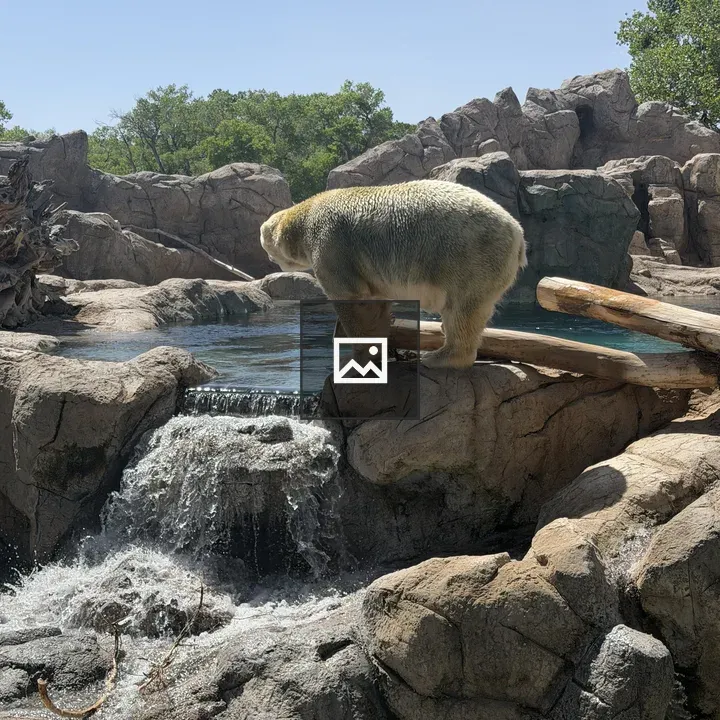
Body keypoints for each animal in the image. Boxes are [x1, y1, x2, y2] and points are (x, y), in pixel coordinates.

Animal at [260, 179, 527, 368]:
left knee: (462, 309)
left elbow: (352, 298)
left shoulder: (330, 245)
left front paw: (355, 356)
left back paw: (437, 357)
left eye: (264, 240)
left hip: (468, 256)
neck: (306, 218)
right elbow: (376, 302)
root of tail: (518, 234)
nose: (267, 257)